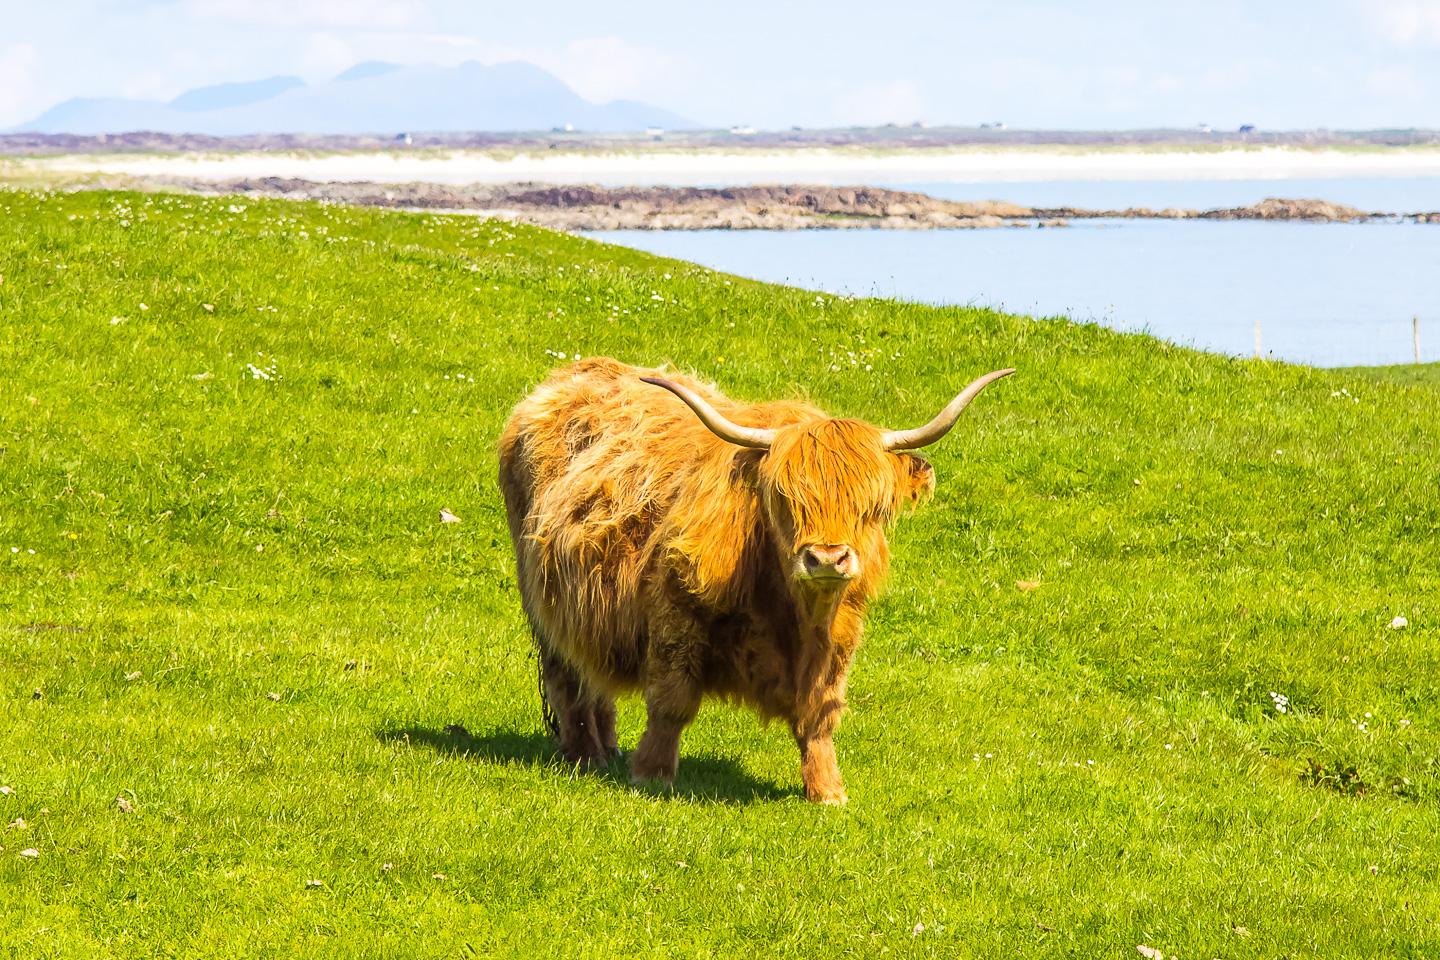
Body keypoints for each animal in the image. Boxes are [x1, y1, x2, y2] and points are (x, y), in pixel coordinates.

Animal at [495, 355, 1013, 805]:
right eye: (784, 498)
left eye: (873, 506)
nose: (827, 558)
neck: (793, 614)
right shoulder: (676, 609)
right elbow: (670, 702)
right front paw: (652, 774)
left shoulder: (842, 635)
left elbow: (820, 716)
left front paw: (827, 791)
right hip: (541, 597)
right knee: (566, 672)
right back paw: (586, 756)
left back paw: (606, 750)